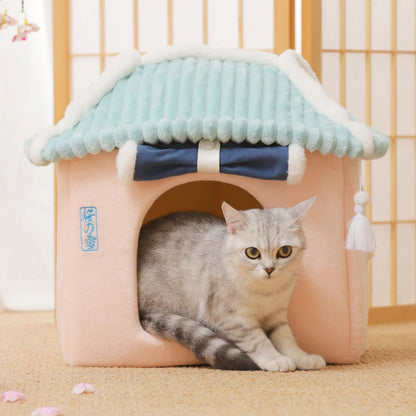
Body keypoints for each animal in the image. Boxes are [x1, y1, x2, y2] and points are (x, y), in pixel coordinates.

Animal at [136, 197, 324, 372]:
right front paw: (274, 358)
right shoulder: (231, 317)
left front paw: (302, 358)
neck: (266, 293)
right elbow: (257, 339)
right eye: (252, 252)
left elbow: (286, 338)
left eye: (285, 251)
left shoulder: (276, 314)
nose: (269, 269)